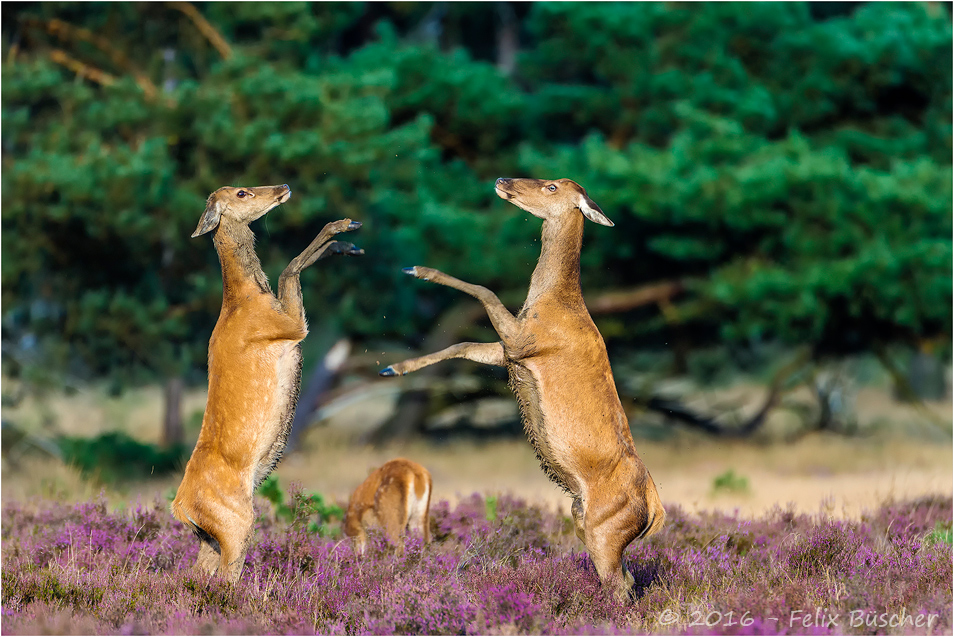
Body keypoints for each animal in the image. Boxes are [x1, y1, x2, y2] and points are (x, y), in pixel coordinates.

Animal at [171, 184, 360, 580]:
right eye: (242, 193)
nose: (282, 187)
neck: (249, 299)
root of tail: (180, 509)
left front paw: (346, 245)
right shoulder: (289, 325)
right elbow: (290, 269)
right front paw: (341, 227)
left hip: (209, 537)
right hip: (237, 521)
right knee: (227, 578)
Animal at [380, 178, 660, 596]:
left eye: (552, 186)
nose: (502, 181)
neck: (551, 303)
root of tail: (655, 509)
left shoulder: (525, 341)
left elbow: (486, 290)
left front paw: (417, 268)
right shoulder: (510, 353)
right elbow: (462, 344)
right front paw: (391, 367)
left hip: (604, 528)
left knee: (618, 586)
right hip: (583, 517)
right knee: (627, 579)